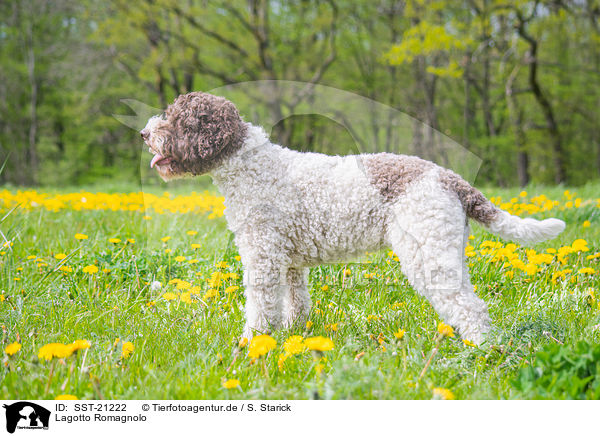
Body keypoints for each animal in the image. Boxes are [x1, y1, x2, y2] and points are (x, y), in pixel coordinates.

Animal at [142, 92, 568, 344]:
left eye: (176, 120)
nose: (145, 133)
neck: (251, 166)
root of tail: (450, 178)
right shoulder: (290, 263)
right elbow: (295, 302)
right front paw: (294, 335)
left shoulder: (262, 256)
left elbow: (261, 307)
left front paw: (252, 344)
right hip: (446, 252)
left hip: (426, 254)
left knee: (471, 308)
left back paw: (478, 351)